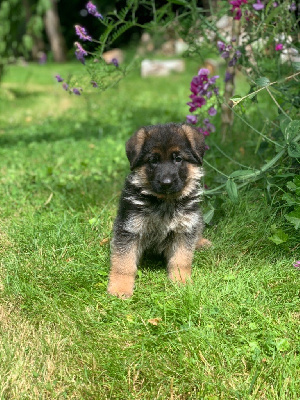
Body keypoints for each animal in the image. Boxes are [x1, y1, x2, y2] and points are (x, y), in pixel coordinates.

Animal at [108, 123, 209, 298]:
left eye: (178, 159)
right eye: (153, 160)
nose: (166, 182)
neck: (165, 202)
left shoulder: (185, 228)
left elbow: (181, 259)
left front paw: (181, 281)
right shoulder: (129, 228)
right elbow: (124, 262)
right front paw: (120, 288)